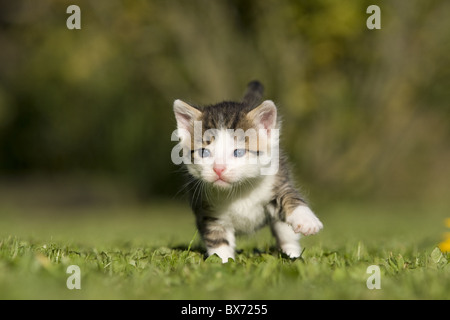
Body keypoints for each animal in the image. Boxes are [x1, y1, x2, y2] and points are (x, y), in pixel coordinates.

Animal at [172, 80, 324, 262]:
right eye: (204, 152)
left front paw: (307, 220)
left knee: (286, 234)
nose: (218, 169)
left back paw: (292, 255)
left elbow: (288, 196)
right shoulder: (208, 210)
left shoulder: (275, 181)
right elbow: (218, 239)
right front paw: (222, 262)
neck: (239, 189)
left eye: (238, 152)